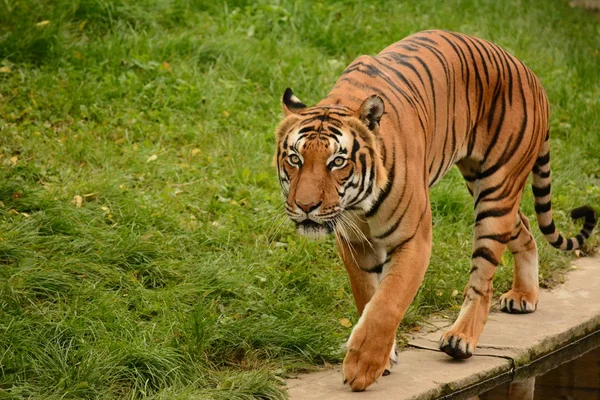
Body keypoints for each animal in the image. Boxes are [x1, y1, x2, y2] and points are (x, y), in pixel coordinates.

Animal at [274, 29, 596, 392]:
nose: (306, 207)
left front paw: (363, 365)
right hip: (488, 187)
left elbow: (387, 301)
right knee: (525, 227)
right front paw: (384, 356)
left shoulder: (415, 239)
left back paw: (461, 338)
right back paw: (524, 295)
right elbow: (367, 294)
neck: (358, 204)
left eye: (337, 161)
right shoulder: (355, 242)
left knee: (483, 279)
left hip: (496, 192)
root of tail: (532, 74)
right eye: (295, 158)